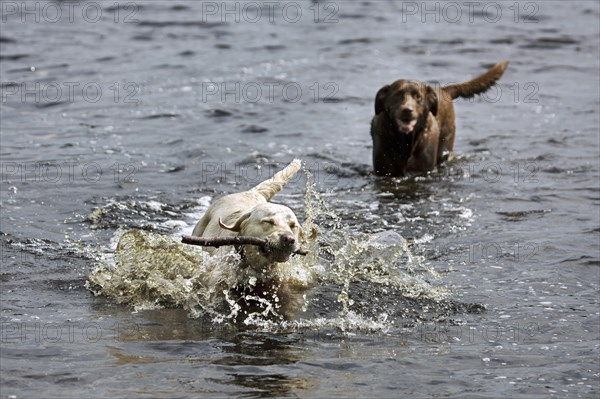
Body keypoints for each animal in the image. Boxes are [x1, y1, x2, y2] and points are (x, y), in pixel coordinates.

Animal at [372, 61, 508, 177]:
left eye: (418, 97)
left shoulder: (423, 170)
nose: (407, 110)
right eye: (397, 95)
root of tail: (443, 90)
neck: (406, 141)